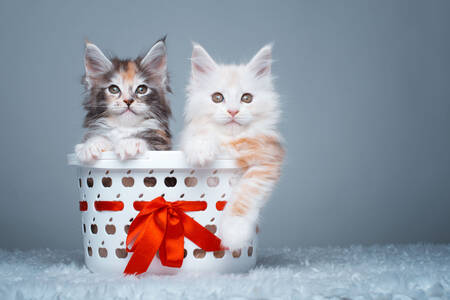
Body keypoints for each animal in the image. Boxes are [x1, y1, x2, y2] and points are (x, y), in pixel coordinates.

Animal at [180, 43, 284, 250]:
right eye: (217, 97)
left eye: (246, 98)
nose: (233, 111)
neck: (231, 141)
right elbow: (201, 134)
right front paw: (200, 151)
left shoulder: (268, 160)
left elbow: (245, 195)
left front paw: (234, 233)